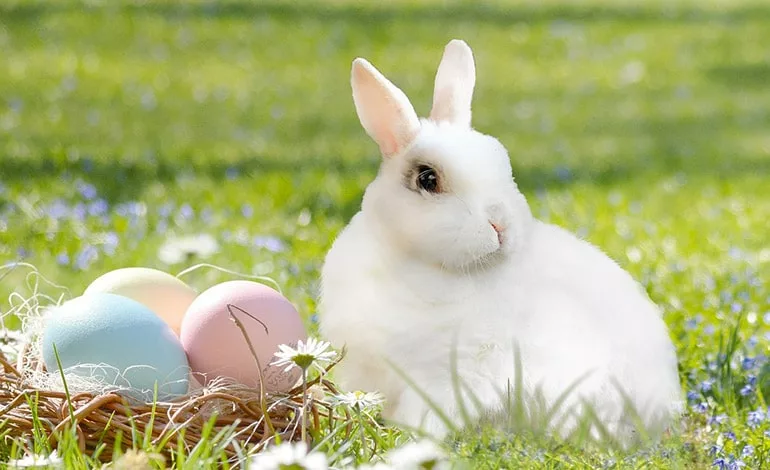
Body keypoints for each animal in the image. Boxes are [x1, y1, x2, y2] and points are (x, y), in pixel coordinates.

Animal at [316, 39, 680, 444]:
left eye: (502, 164)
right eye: (428, 179)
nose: (500, 224)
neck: (415, 263)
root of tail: (660, 412)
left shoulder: (448, 378)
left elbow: (426, 415)